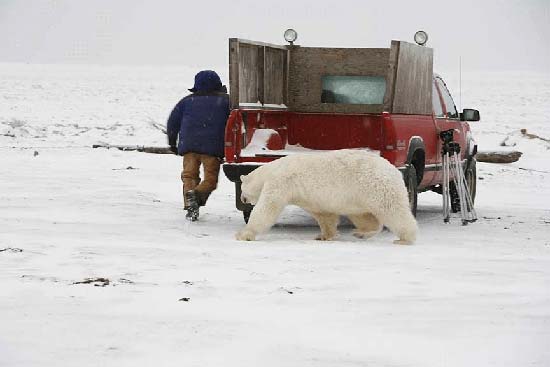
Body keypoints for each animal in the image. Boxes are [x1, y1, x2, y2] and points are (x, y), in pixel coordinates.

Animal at [235, 148, 420, 246]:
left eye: (243, 189)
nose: (243, 199)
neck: (271, 170)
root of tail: (394, 169)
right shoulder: (309, 197)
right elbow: (324, 215)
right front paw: (324, 236)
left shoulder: (280, 183)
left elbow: (267, 208)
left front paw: (243, 234)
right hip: (358, 196)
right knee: (364, 216)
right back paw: (360, 233)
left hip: (375, 187)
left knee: (393, 211)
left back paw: (405, 239)